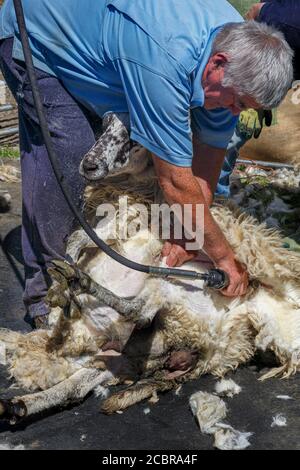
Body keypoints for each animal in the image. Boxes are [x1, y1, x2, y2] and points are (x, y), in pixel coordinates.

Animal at [0, 113, 298, 422]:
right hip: (125, 352)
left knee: (139, 313)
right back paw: (20, 401)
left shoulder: (134, 217)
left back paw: (78, 282)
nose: (89, 164)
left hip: (173, 293)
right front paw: (59, 286)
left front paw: (64, 281)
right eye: (104, 123)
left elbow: (83, 237)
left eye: (135, 137)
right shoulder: (118, 219)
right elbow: (77, 238)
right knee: (77, 385)